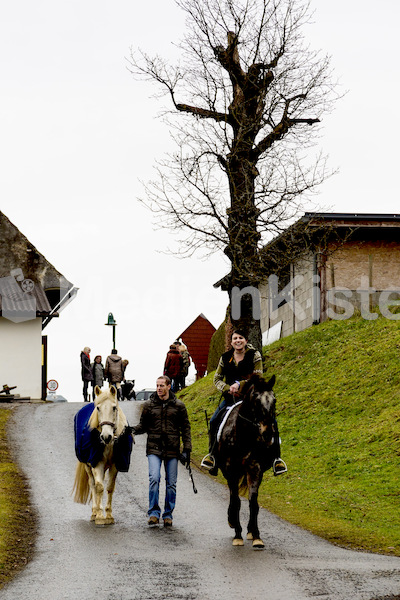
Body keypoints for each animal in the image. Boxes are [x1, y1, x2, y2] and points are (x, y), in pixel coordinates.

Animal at [72, 386, 133, 524]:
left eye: (114, 408)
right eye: (98, 408)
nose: (106, 436)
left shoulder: (115, 465)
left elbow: (110, 487)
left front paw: (109, 515)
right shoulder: (96, 463)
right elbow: (99, 487)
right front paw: (100, 516)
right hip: (88, 466)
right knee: (93, 484)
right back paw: (94, 512)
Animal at [219, 376, 278, 548]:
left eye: (274, 400)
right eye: (256, 400)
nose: (268, 433)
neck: (244, 436)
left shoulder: (255, 469)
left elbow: (253, 503)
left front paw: (256, 535)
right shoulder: (230, 470)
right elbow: (237, 501)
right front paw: (237, 534)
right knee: (233, 496)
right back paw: (232, 521)